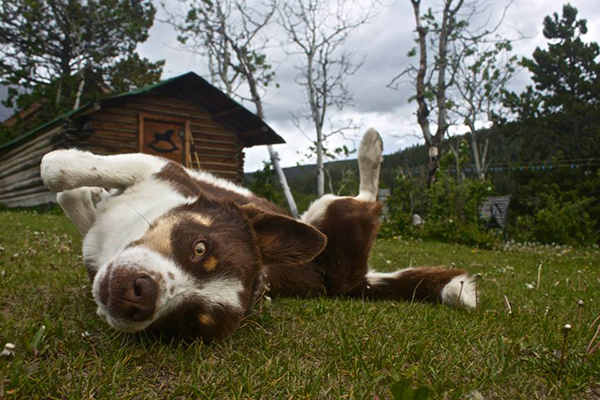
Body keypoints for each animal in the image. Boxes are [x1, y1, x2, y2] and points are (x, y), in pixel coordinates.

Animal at [39, 130, 476, 342]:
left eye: (186, 324)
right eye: (201, 248)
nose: (139, 297)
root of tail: (351, 281)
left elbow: (55, 172)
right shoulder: (159, 168)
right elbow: (60, 175)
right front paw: (89, 191)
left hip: (334, 210)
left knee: (368, 198)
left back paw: (370, 148)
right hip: (315, 216)